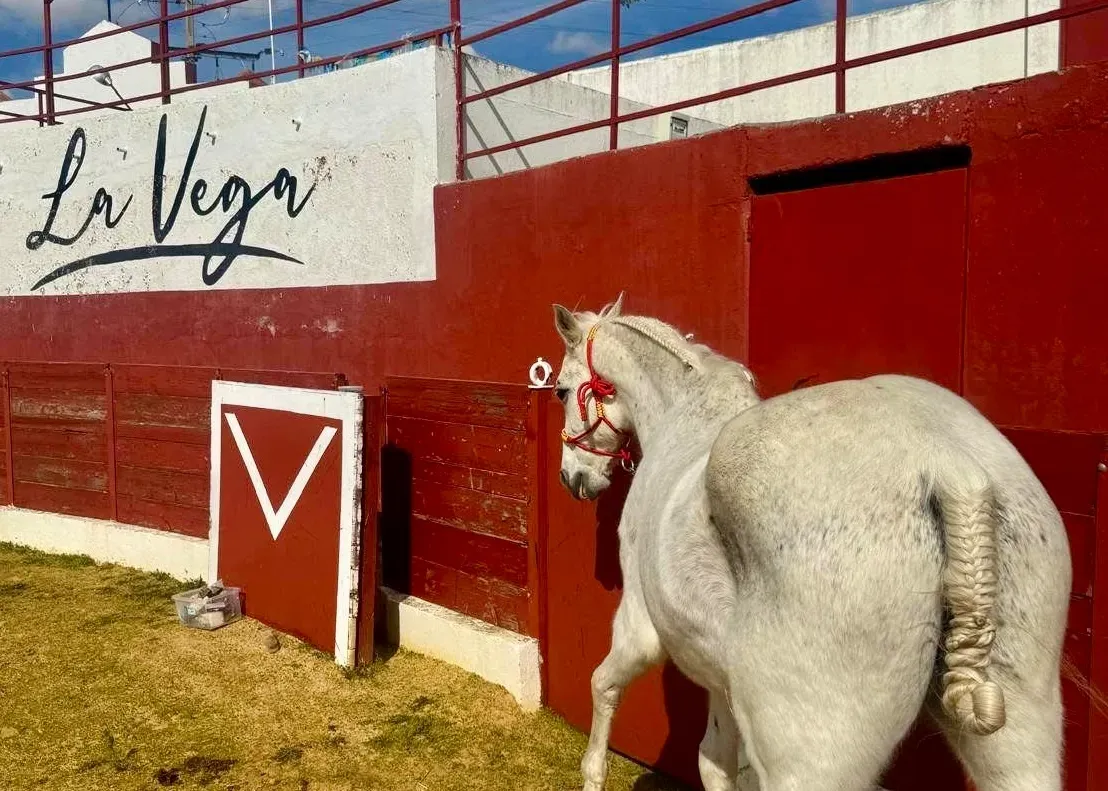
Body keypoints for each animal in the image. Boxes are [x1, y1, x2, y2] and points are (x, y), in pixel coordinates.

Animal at [551, 295, 1070, 791]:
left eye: (560, 390)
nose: (572, 478)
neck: (684, 421)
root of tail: (948, 467)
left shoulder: (640, 630)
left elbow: (603, 687)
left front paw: (592, 776)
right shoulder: (721, 681)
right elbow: (716, 765)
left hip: (808, 758)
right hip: (1018, 740)